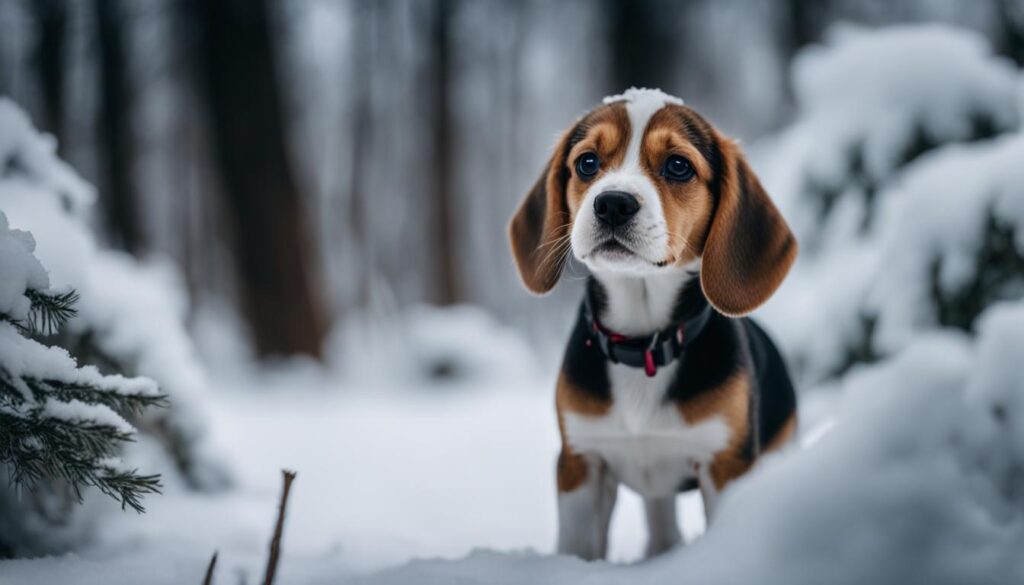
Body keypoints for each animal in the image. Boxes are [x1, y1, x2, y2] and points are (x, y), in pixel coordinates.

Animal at [507, 87, 794, 557]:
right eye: (587, 163)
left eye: (678, 166)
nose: (612, 203)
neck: (643, 344)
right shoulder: (580, 463)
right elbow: (577, 547)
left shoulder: (725, 464)